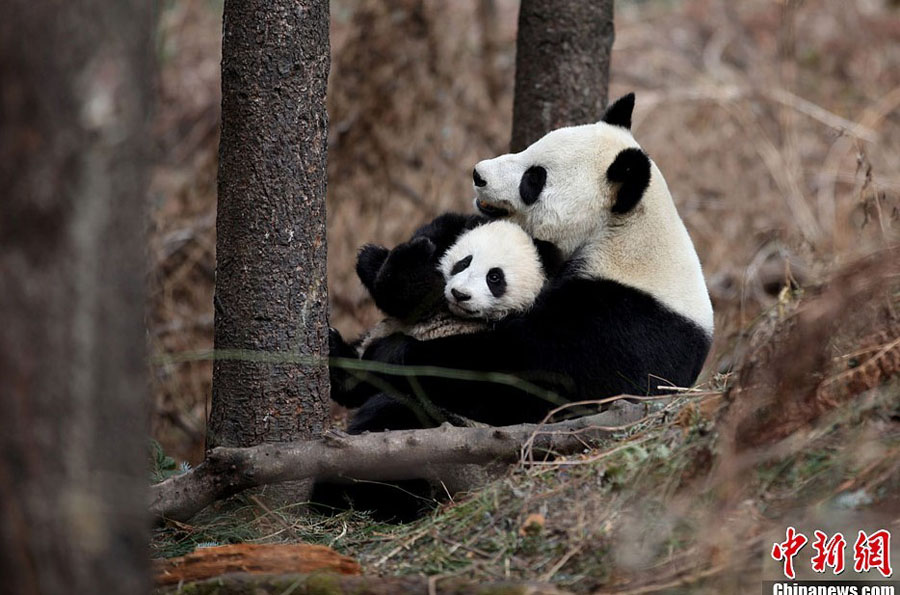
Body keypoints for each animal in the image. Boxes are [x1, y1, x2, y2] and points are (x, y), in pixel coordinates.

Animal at [360, 92, 716, 428]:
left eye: (534, 178)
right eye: (529, 147)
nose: (478, 174)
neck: (623, 233)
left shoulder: (622, 323)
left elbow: (521, 369)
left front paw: (393, 352)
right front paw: (402, 268)